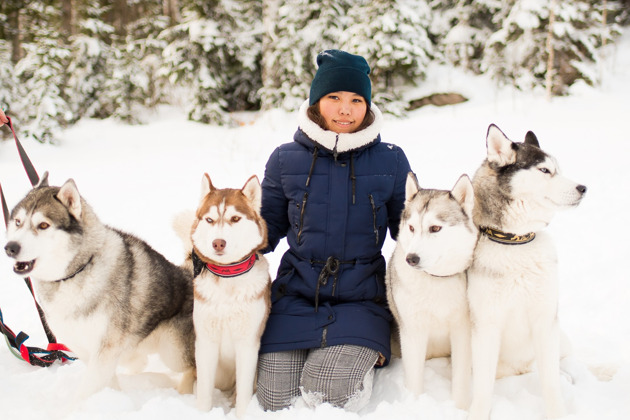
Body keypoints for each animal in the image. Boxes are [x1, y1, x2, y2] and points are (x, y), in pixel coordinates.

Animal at [2, 174, 195, 400]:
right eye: (18, 222)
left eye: (43, 225)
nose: (10, 248)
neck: (74, 273)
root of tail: (188, 272)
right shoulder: (86, 350)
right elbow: (102, 383)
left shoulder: (105, 350)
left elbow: (85, 391)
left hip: (172, 350)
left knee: (193, 368)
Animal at [180, 174, 274, 416]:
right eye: (210, 220)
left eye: (235, 218)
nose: (218, 242)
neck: (228, 278)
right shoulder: (205, 343)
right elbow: (204, 392)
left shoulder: (248, 344)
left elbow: (243, 394)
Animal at [386, 171, 478, 410]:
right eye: (411, 228)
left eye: (435, 228)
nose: (411, 258)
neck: (436, 279)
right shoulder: (413, 332)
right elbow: (414, 382)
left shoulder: (462, 331)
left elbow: (461, 380)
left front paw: (459, 409)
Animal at [470, 124, 588, 420]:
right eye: (545, 170)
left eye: (558, 168)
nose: (583, 188)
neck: (516, 241)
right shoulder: (486, 326)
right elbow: (482, 388)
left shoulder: (545, 321)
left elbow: (551, 384)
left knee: (562, 365)